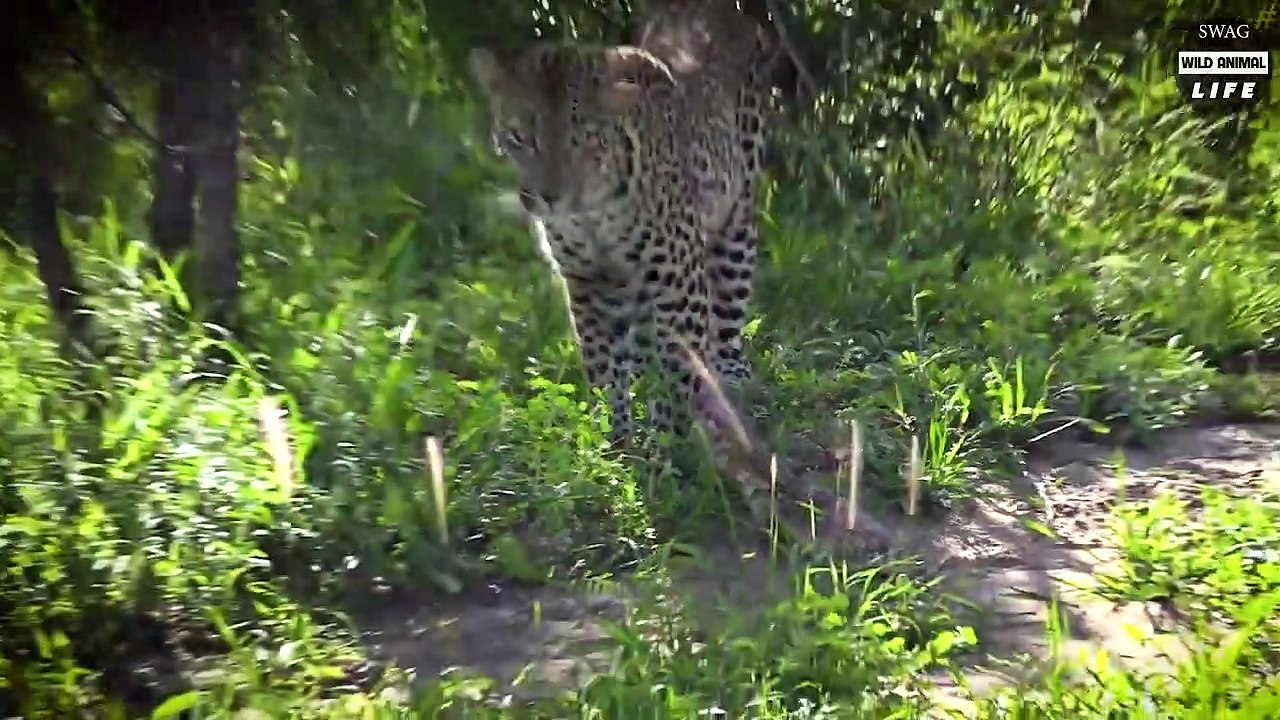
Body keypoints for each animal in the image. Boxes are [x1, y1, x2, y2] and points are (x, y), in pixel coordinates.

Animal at [466, 0, 774, 452]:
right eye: (520, 137)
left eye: (582, 140)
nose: (550, 197)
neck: (592, 211)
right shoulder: (585, 280)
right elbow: (602, 368)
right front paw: (613, 441)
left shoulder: (679, 284)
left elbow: (678, 375)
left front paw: (665, 448)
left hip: (735, 218)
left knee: (728, 316)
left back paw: (731, 381)